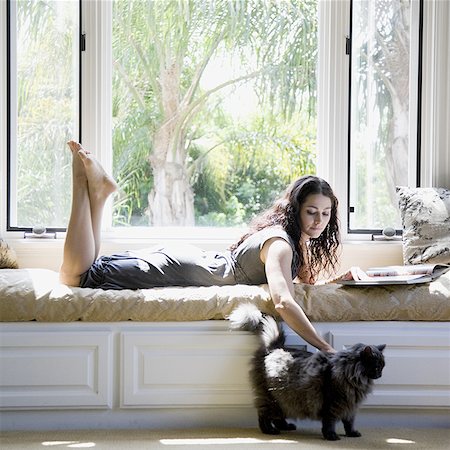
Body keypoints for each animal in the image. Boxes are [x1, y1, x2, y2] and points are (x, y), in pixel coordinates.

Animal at [230, 304, 384, 442]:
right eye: (377, 367)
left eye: (382, 367)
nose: (380, 375)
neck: (350, 374)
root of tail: (274, 347)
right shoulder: (333, 404)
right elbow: (329, 424)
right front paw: (331, 436)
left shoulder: (350, 407)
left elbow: (349, 423)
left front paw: (352, 433)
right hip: (270, 398)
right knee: (264, 416)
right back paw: (270, 431)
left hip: (283, 399)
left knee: (278, 417)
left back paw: (286, 427)